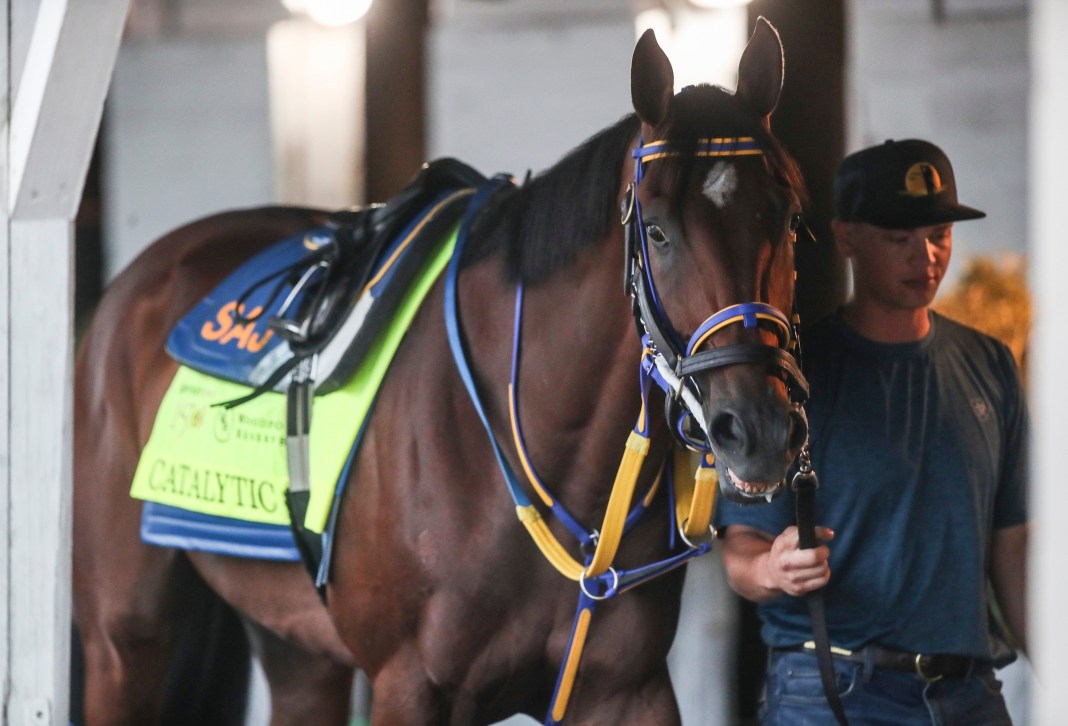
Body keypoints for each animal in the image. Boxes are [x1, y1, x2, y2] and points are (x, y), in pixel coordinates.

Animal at [73, 18, 809, 725]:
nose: (758, 430)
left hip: (296, 647)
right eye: (656, 230)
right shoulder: (410, 688)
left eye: (788, 219)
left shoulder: (627, 691)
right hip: (123, 638)